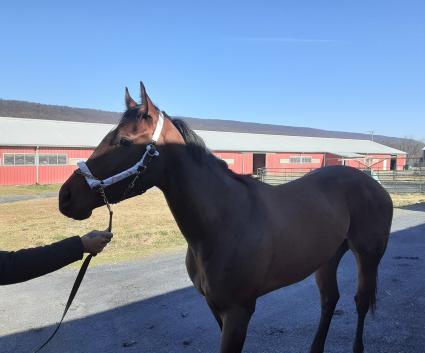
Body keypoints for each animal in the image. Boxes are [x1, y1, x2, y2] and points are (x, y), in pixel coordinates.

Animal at [58, 83, 390, 352]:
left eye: (125, 141)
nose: (66, 197)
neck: (222, 223)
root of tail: (372, 184)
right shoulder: (216, 308)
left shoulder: (238, 311)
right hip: (327, 258)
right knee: (329, 301)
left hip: (367, 256)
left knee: (360, 302)